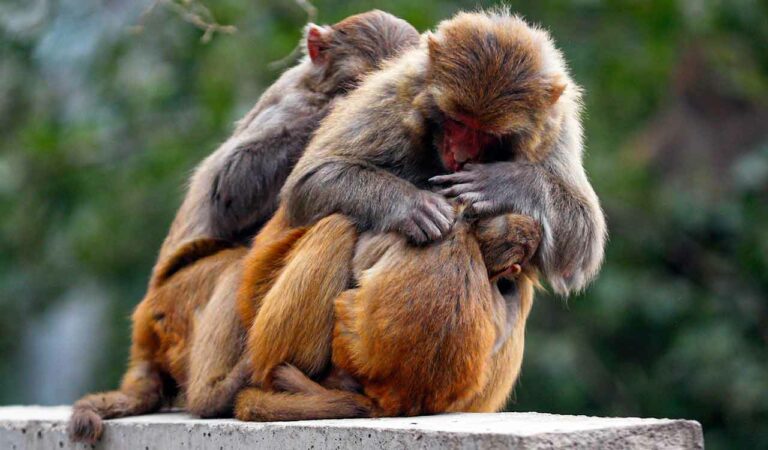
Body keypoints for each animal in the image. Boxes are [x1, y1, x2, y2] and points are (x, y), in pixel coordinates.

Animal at [68, 11, 421, 444]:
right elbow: (227, 189)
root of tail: (143, 333)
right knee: (235, 264)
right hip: (172, 302)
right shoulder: (289, 104)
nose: (368, 99)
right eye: (358, 82)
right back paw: (215, 394)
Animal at [281, 9, 607, 297]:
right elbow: (313, 177)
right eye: (458, 122)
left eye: (487, 134)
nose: (460, 155)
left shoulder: (556, 131)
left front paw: (508, 183)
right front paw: (411, 205)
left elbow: (582, 241)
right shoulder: (398, 92)